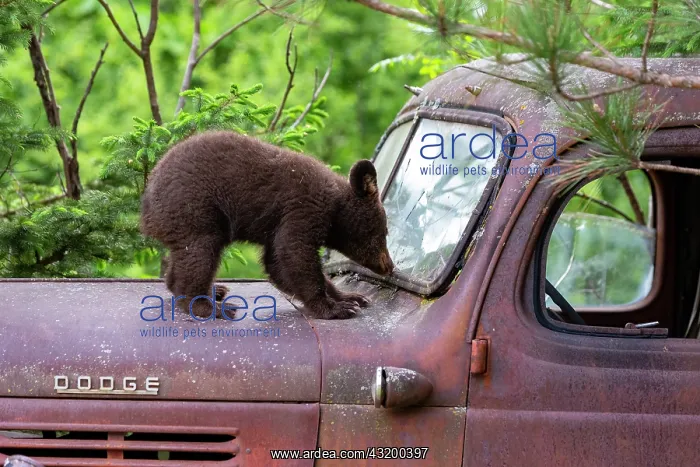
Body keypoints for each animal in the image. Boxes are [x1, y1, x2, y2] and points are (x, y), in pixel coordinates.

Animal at [140, 130, 395, 320]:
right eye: (385, 231)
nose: (389, 266)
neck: (336, 205)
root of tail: (147, 206)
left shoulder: (279, 225)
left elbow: (276, 263)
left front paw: (351, 297)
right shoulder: (303, 208)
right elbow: (294, 253)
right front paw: (335, 308)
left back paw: (214, 290)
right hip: (195, 211)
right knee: (200, 254)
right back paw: (212, 306)